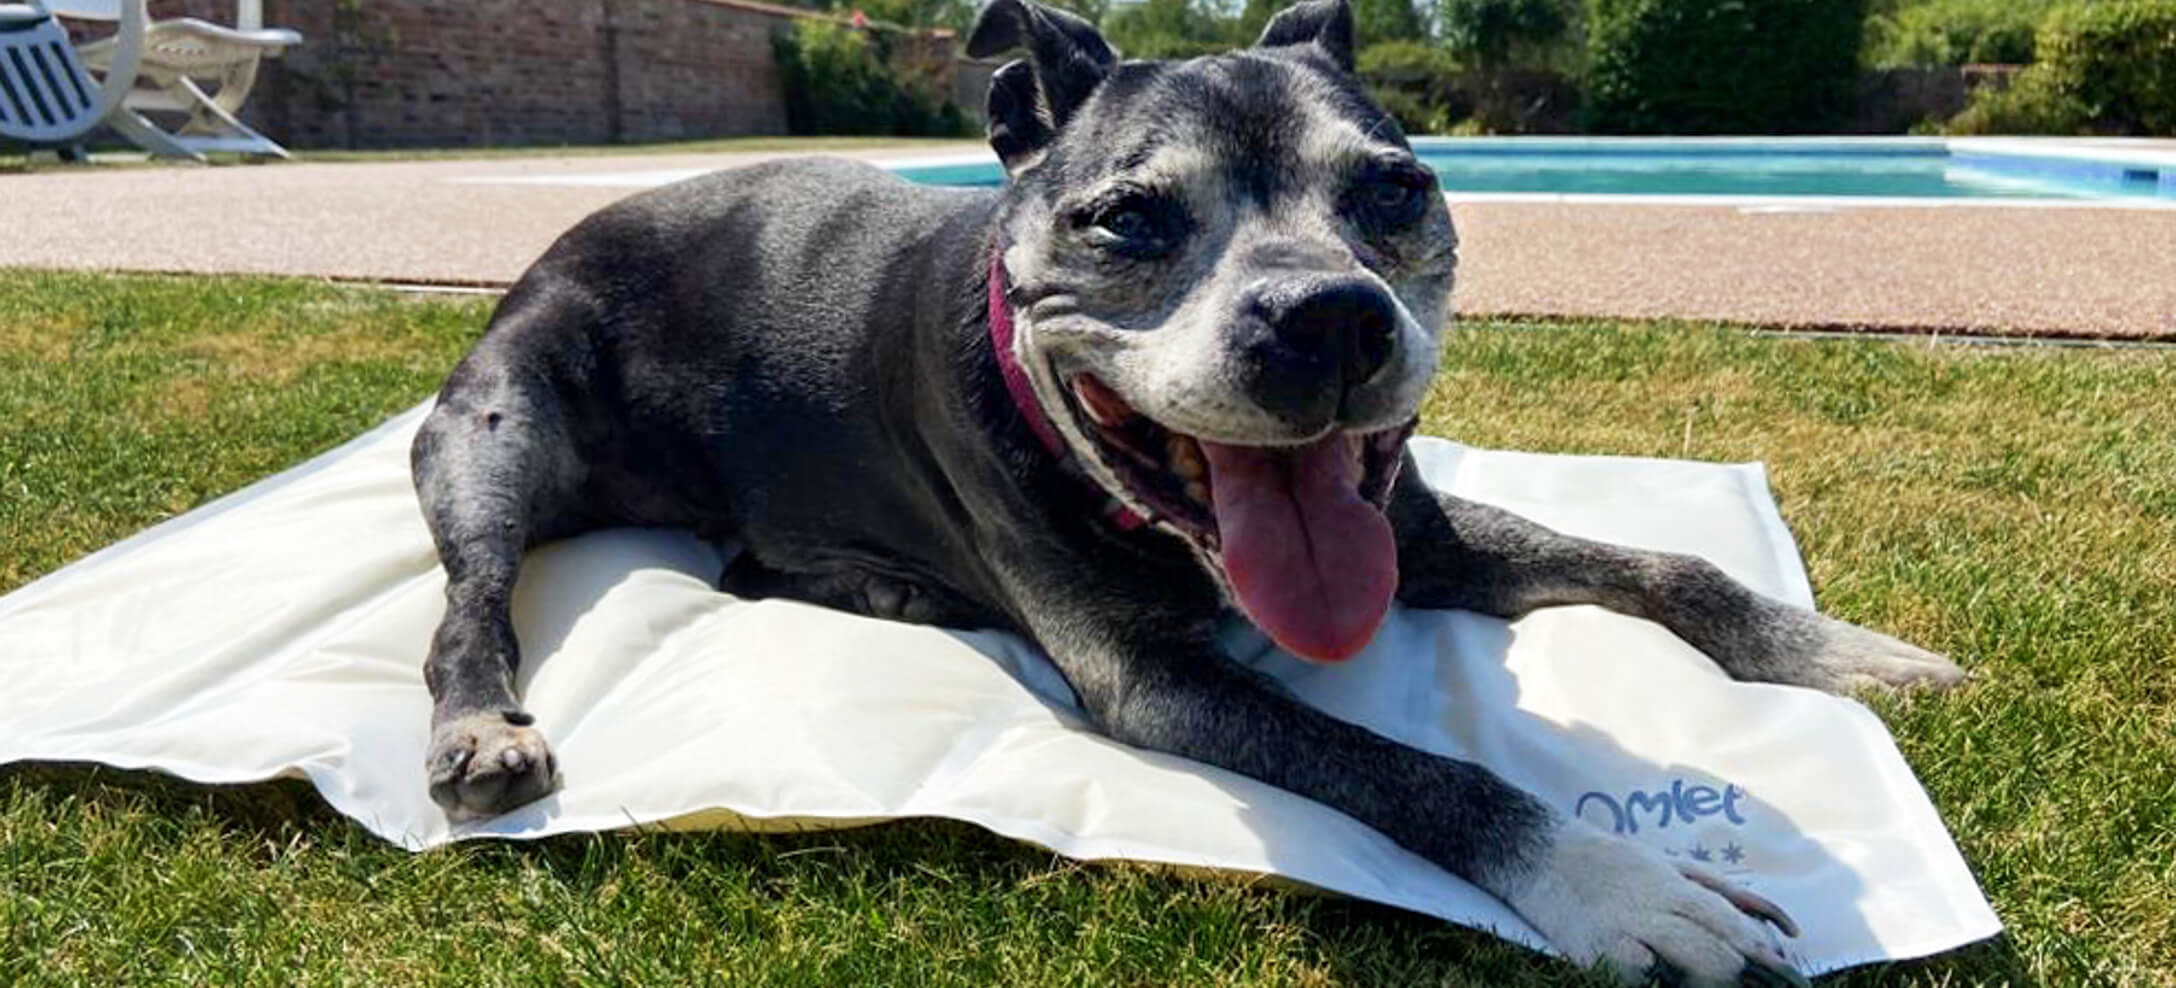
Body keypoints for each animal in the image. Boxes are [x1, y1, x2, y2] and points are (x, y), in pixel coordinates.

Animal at [404, 3, 1958, 983]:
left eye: (1397, 191)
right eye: (1131, 219)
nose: (1328, 320)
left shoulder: (1412, 531)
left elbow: (1670, 567)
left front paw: (1840, 650)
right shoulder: (1155, 682)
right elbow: (1423, 771)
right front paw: (1615, 881)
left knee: (740, 564)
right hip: (497, 424)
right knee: (468, 601)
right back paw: (480, 722)